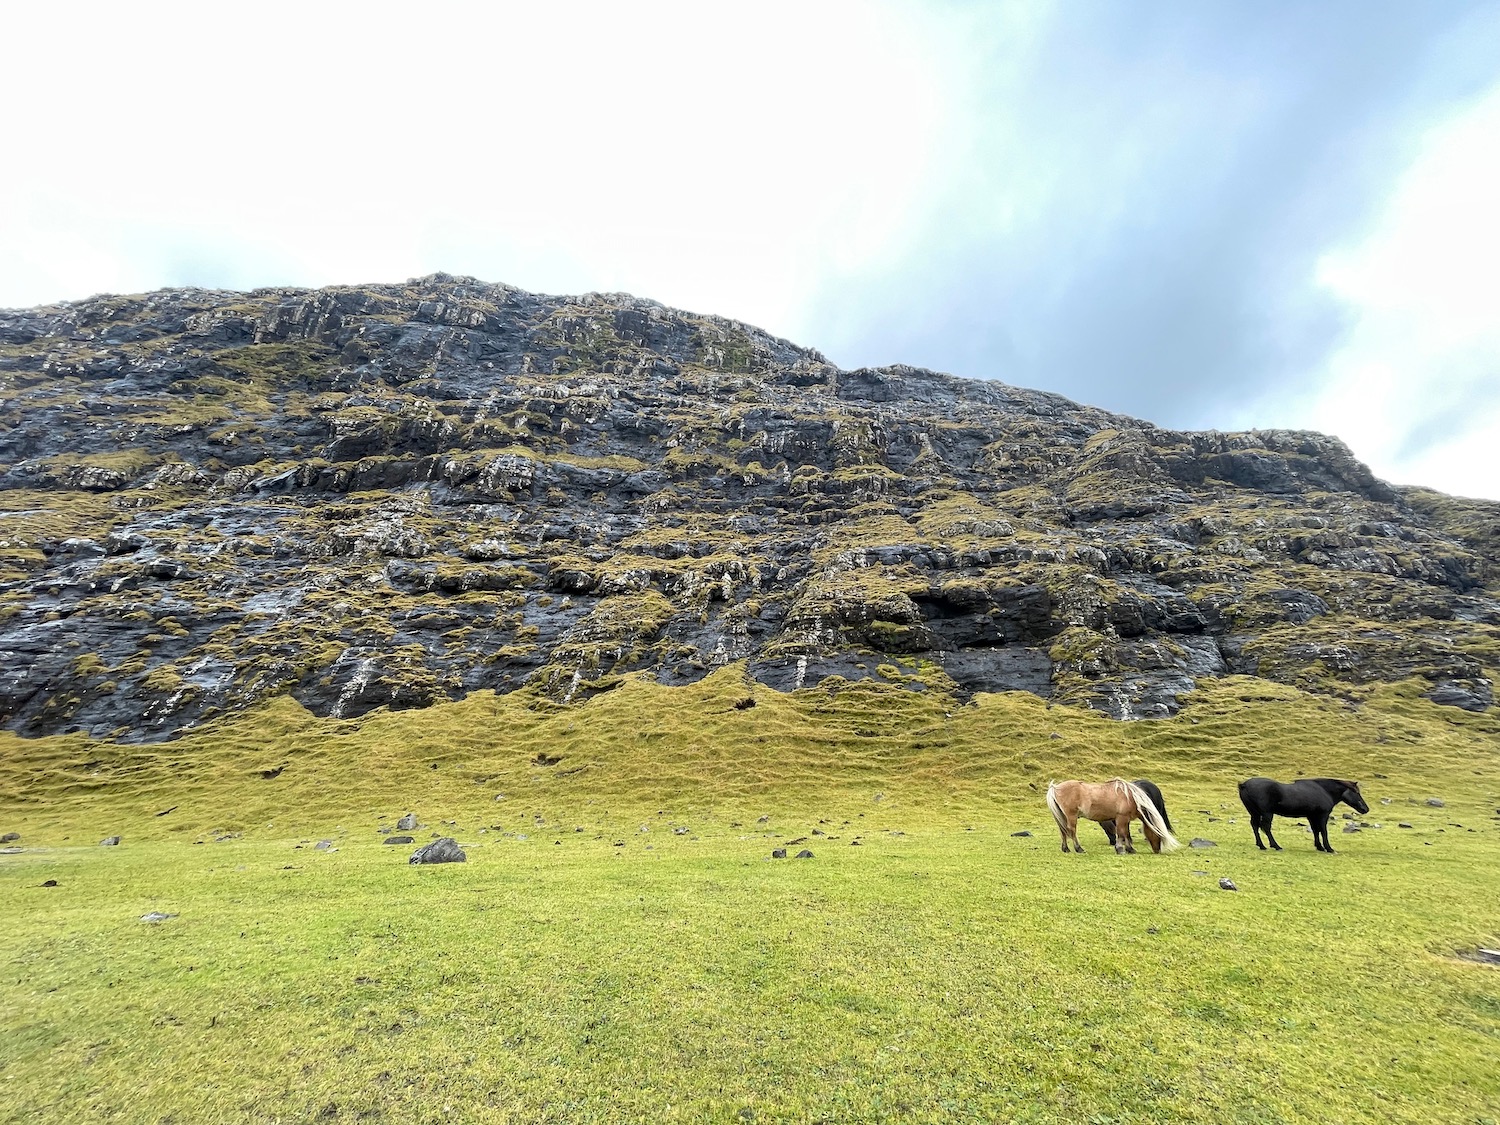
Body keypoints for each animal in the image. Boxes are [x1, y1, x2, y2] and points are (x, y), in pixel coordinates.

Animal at [1044, 780, 1182, 858]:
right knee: (1071, 831)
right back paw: (1079, 849)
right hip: (1071, 816)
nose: (1157, 850)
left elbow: (1126, 834)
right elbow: (1121, 834)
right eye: (1158, 834)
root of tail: (1055, 788)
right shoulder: (1121, 818)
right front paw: (1120, 849)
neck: (1130, 797)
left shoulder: (1125, 819)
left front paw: (1130, 849)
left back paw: (1066, 849)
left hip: (1062, 817)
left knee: (1063, 831)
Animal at [1236, 780, 1368, 858]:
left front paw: (1319, 847)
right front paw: (1329, 848)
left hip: (1255, 813)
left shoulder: (1311, 816)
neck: (1323, 790)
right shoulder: (1322, 815)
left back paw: (1261, 845)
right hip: (1267, 813)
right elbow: (1323, 831)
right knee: (1266, 828)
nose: (1365, 809)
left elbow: (1316, 831)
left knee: (1255, 826)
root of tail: (1244, 784)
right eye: (1356, 792)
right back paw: (1276, 846)